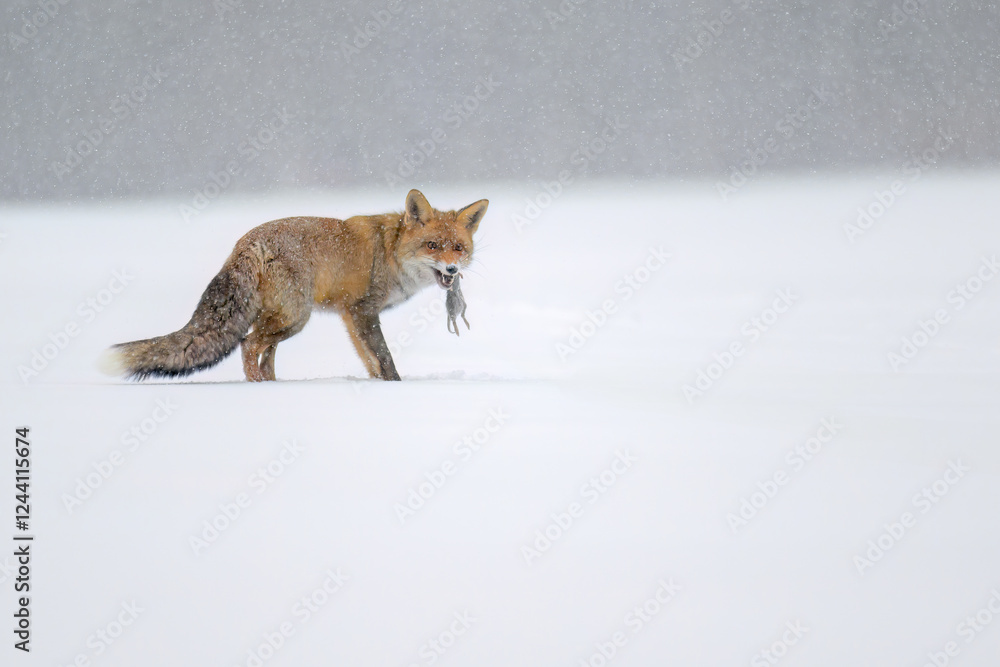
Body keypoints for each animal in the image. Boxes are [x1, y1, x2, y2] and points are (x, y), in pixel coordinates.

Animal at [102, 189, 488, 382]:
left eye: (458, 248)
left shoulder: (351, 317)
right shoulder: (362, 310)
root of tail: (246, 242)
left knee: (264, 353)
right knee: (247, 344)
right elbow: (385, 359)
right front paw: (395, 388)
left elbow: (370, 362)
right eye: (432, 246)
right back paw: (258, 390)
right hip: (295, 316)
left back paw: (272, 387)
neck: (390, 251)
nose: (452, 269)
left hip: (281, 317)